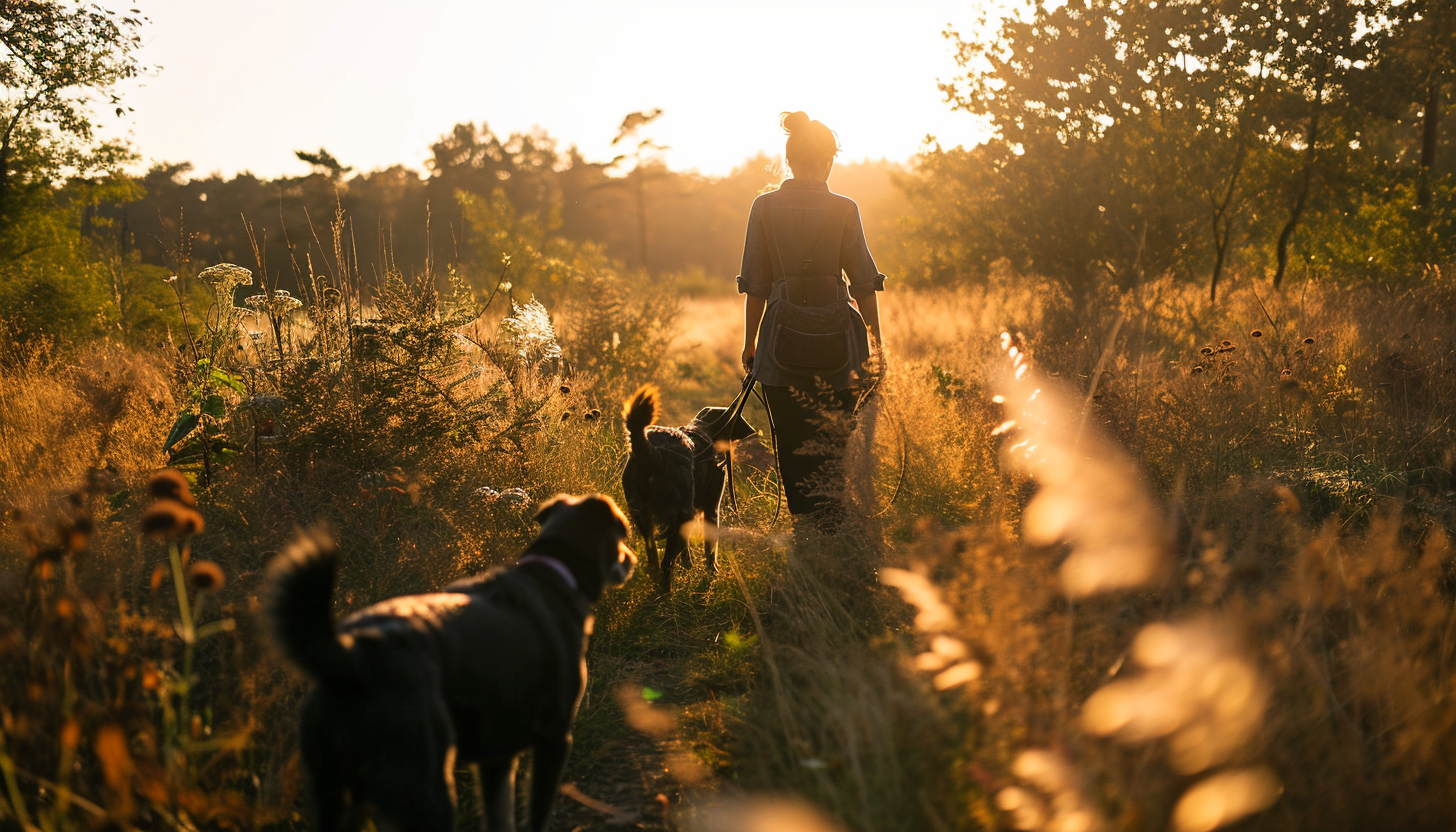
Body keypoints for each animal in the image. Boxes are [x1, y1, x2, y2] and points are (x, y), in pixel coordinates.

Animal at [267, 495, 631, 832]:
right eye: (621, 532)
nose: (632, 558)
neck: (554, 570)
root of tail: (354, 656)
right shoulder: (554, 739)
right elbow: (537, 817)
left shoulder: (497, 758)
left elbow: (501, 819)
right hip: (426, 789)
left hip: (335, 792)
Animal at [623, 384, 757, 591]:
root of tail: (652, 453)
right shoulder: (711, 508)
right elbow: (710, 548)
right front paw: (712, 572)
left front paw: (688, 563)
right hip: (681, 516)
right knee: (666, 563)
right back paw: (666, 593)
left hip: (643, 516)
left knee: (654, 560)